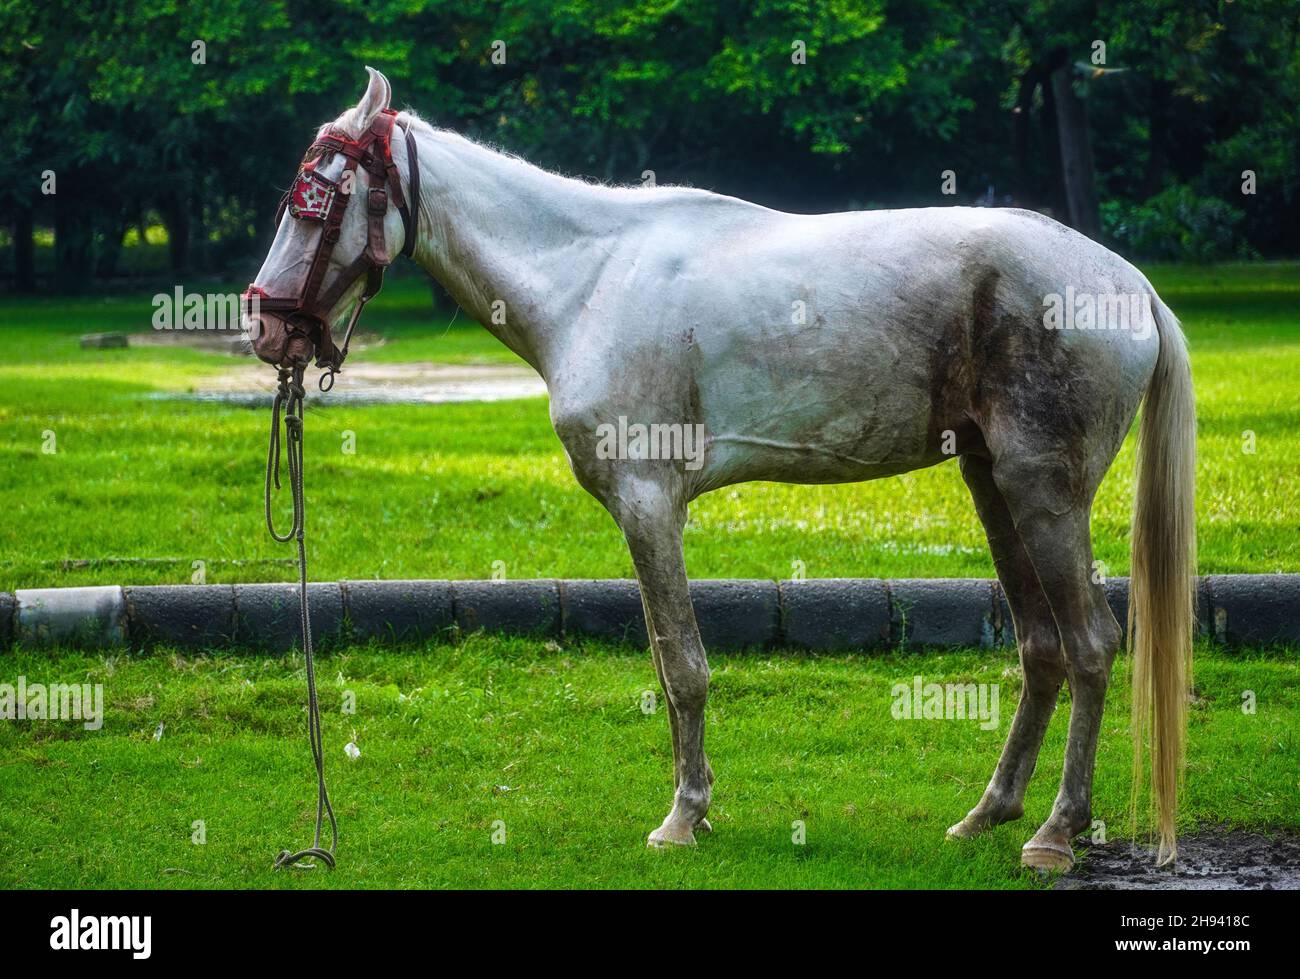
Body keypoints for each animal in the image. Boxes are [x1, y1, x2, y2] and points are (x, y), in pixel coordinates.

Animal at [248, 68, 1190, 868]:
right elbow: (672, 665)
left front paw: (684, 815)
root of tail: (1130, 284)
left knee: (1092, 646)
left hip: (1043, 494)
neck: (590, 280)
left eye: (316, 199)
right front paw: (694, 809)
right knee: (1042, 648)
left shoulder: (648, 502)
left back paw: (1055, 832)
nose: (265, 328)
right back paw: (990, 811)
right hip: (993, 484)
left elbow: (684, 667)